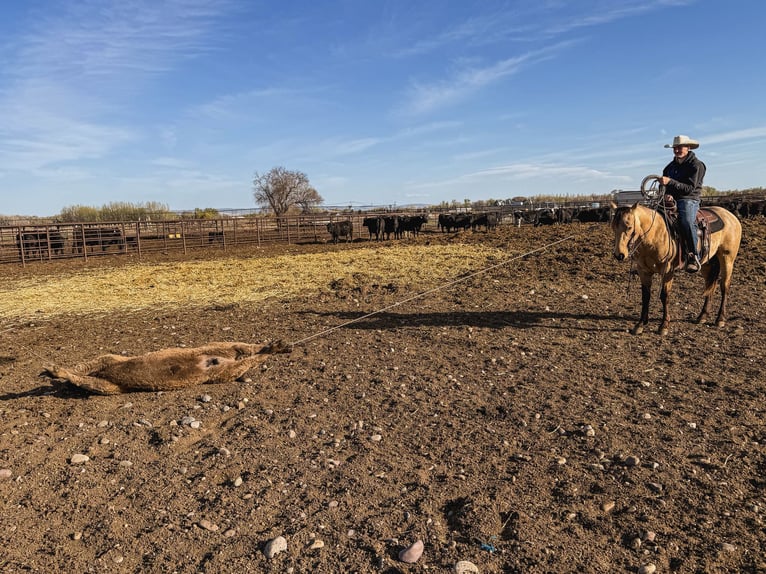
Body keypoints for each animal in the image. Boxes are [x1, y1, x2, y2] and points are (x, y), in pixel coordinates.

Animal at [610, 201, 742, 335]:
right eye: (613, 227)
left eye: (629, 227)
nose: (619, 255)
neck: (655, 234)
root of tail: (731, 216)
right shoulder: (643, 271)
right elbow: (645, 296)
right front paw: (640, 324)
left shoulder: (667, 271)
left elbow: (664, 296)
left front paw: (664, 325)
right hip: (707, 263)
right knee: (710, 286)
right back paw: (702, 316)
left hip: (727, 259)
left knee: (724, 287)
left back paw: (720, 319)